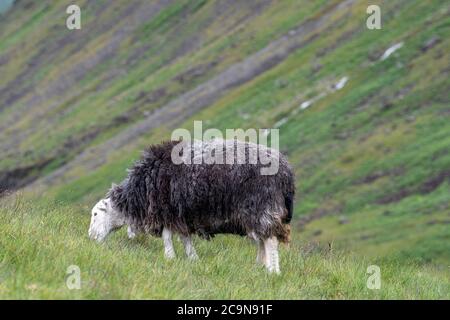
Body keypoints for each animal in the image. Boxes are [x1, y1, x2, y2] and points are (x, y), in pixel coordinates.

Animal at [89, 139, 298, 274]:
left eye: (95, 214)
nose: (90, 238)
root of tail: (286, 171)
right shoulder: (181, 215)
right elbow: (184, 238)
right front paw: (192, 258)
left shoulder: (167, 212)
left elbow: (167, 237)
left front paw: (170, 257)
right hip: (256, 213)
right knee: (262, 239)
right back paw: (259, 266)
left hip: (262, 206)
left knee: (270, 240)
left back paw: (272, 271)